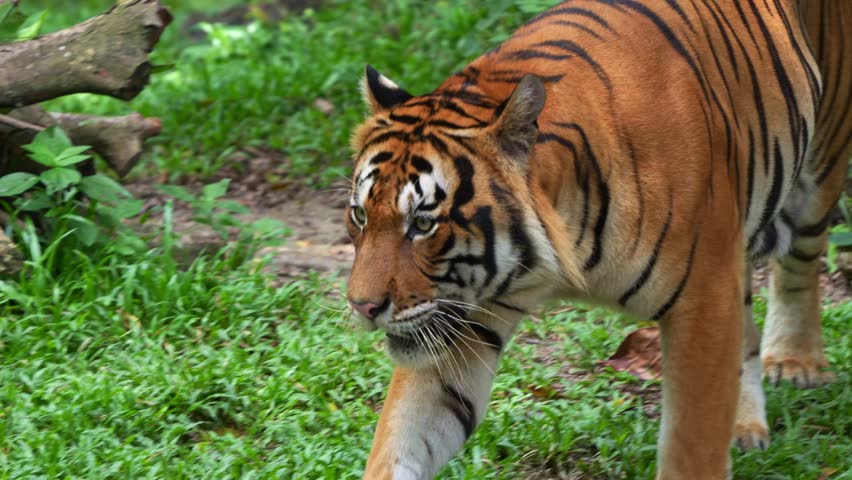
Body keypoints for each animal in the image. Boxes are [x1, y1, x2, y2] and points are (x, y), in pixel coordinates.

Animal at [344, 1, 851, 478]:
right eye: (360, 215)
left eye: (423, 224)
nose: (363, 308)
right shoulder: (461, 317)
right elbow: (404, 436)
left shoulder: (704, 302)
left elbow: (692, 448)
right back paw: (745, 425)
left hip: (818, 167)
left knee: (800, 264)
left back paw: (796, 362)